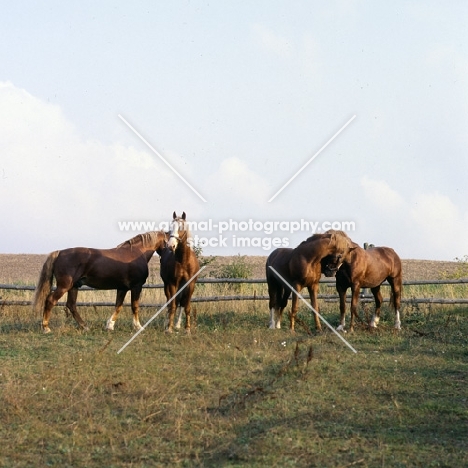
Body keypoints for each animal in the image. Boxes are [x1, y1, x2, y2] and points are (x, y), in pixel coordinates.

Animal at [31, 230, 166, 332]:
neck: (137, 252)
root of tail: (59, 253)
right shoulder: (136, 286)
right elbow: (135, 306)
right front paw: (138, 327)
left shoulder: (122, 288)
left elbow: (118, 306)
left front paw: (110, 325)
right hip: (64, 286)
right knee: (51, 300)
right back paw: (46, 327)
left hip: (74, 286)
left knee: (71, 305)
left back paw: (85, 326)